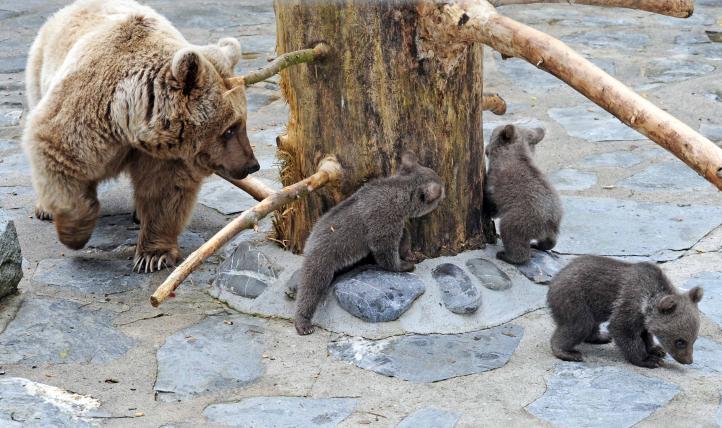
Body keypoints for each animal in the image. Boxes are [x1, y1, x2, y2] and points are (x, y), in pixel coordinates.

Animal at [23, 0, 258, 272]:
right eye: (230, 128)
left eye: (243, 122)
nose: (252, 164)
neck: (128, 120)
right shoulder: (85, 113)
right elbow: (58, 150)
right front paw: (76, 233)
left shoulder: (166, 153)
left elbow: (164, 191)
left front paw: (153, 255)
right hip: (39, 70)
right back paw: (45, 208)